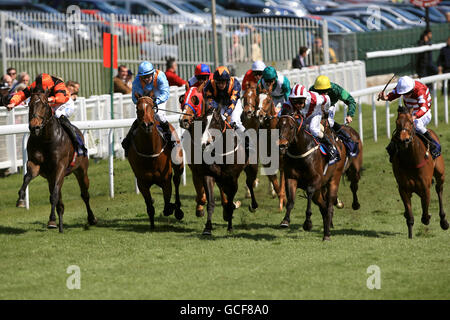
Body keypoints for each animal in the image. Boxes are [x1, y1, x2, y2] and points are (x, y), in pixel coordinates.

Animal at [14, 91, 96, 231]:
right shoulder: (35, 164)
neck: (46, 139)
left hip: (81, 170)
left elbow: (54, 196)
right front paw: (21, 199)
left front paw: (52, 220)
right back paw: (61, 224)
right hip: (51, 177)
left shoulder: (60, 167)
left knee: (85, 194)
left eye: (45, 104)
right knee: (59, 198)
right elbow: (27, 177)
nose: (34, 126)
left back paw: (91, 218)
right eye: (29, 105)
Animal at [126, 94, 185, 229]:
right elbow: (149, 206)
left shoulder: (165, 179)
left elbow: (167, 206)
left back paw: (178, 209)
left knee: (177, 181)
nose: (147, 124)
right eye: (137, 108)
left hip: (179, 165)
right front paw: (152, 225)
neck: (150, 153)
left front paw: (174, 208)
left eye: (152, 107)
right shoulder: (142, 182)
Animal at [390, 107, 446, 238]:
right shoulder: (403, 189)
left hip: (440, 174)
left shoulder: (425, 188)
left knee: (439, 189)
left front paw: (428, 217)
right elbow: (410, 217)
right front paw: (410, 235)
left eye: (411, 122)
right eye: (397, 122)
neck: (411, 160)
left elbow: (425, 216)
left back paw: (444, 221)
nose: (404, 139)